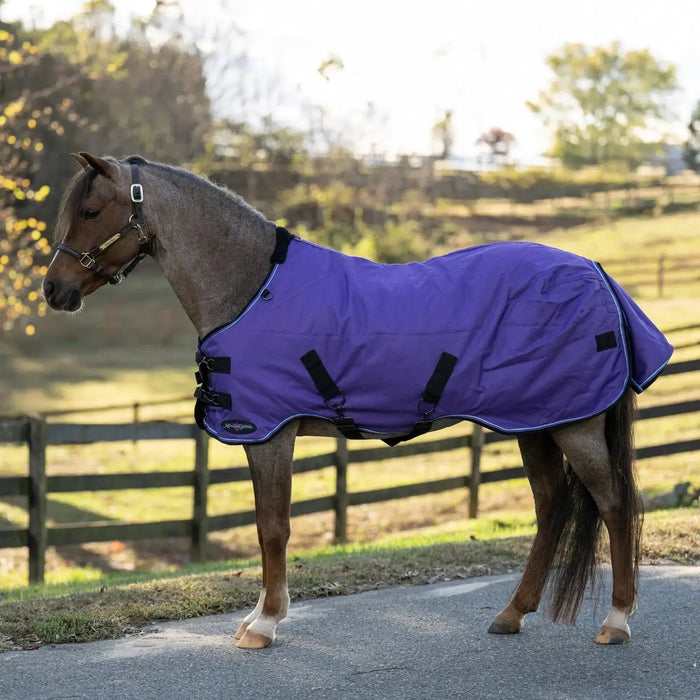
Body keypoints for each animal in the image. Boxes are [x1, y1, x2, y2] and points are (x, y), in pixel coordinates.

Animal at [43, 152, 672, 649]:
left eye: (92, 211)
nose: (54, 290)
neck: (250, 287)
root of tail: (596, 273)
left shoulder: (270, 434)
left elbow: (273, 527)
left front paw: (265, 624)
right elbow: (265, 525)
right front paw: (259, 616)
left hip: (576, 427)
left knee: (615, 504)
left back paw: (616, 621)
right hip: (536, 423)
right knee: (550, 507)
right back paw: (511, 614)